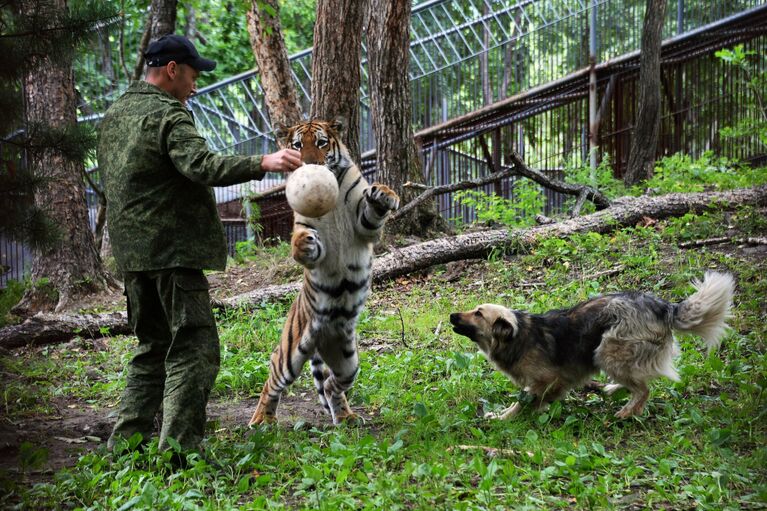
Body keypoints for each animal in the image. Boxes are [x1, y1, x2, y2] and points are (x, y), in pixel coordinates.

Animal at [450, 272, 736, 420]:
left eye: (478, 313)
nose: (452, 316)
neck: (518, 336)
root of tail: (664, 306)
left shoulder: (548, 378)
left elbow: (525, 400)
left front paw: (506, 417)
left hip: (607, 350)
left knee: (643, 389)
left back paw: (627, 412)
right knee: (636, 380)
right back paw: (613, 389)